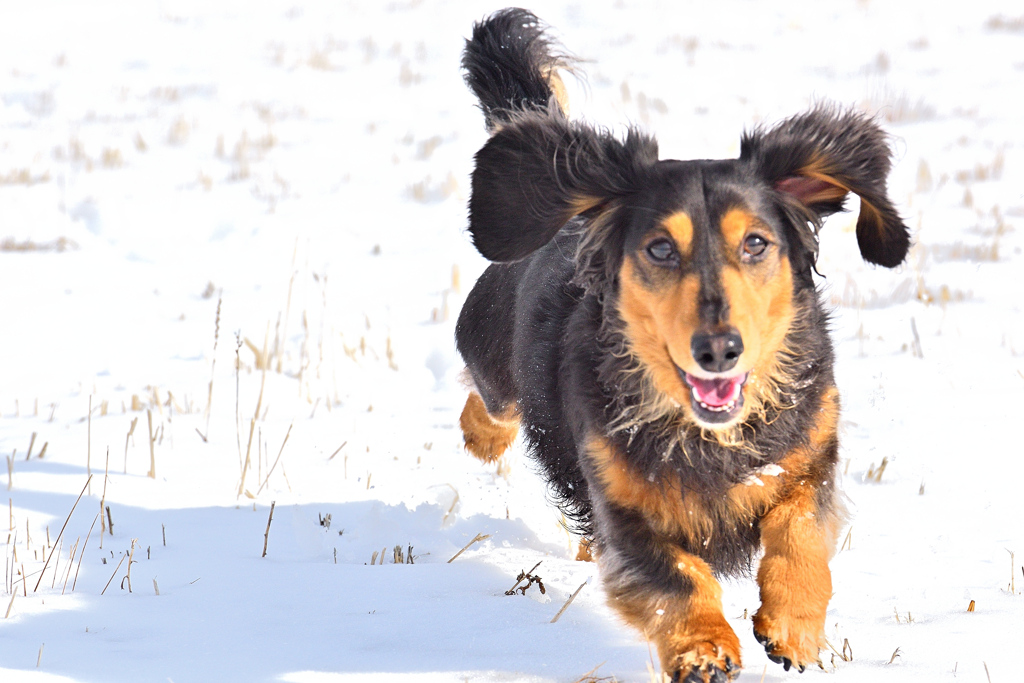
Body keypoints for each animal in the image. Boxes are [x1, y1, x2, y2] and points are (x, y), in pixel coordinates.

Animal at [456, 7, 913, 679]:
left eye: (756, 242)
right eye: (660, 249)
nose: (719, 350)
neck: (709, 436)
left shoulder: (811, 457)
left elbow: (800, 531)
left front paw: (793, 629)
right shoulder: (624, 511)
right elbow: (679, 579)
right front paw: (704, 648)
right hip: (492, 360)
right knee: (489, 399)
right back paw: (480, 434)